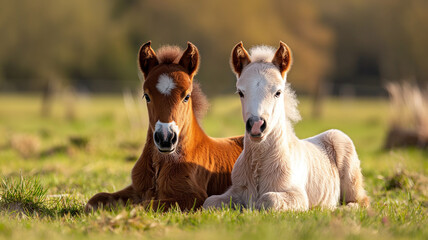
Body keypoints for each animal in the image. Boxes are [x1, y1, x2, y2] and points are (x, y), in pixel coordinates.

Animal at [203, 42, 368, 211]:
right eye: (240, 92)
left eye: (278, 92)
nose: (256, 125)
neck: (259, 165)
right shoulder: (234, 192)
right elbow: (209, 202)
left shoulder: (299, 197)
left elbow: (267, 200)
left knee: (361, 201)